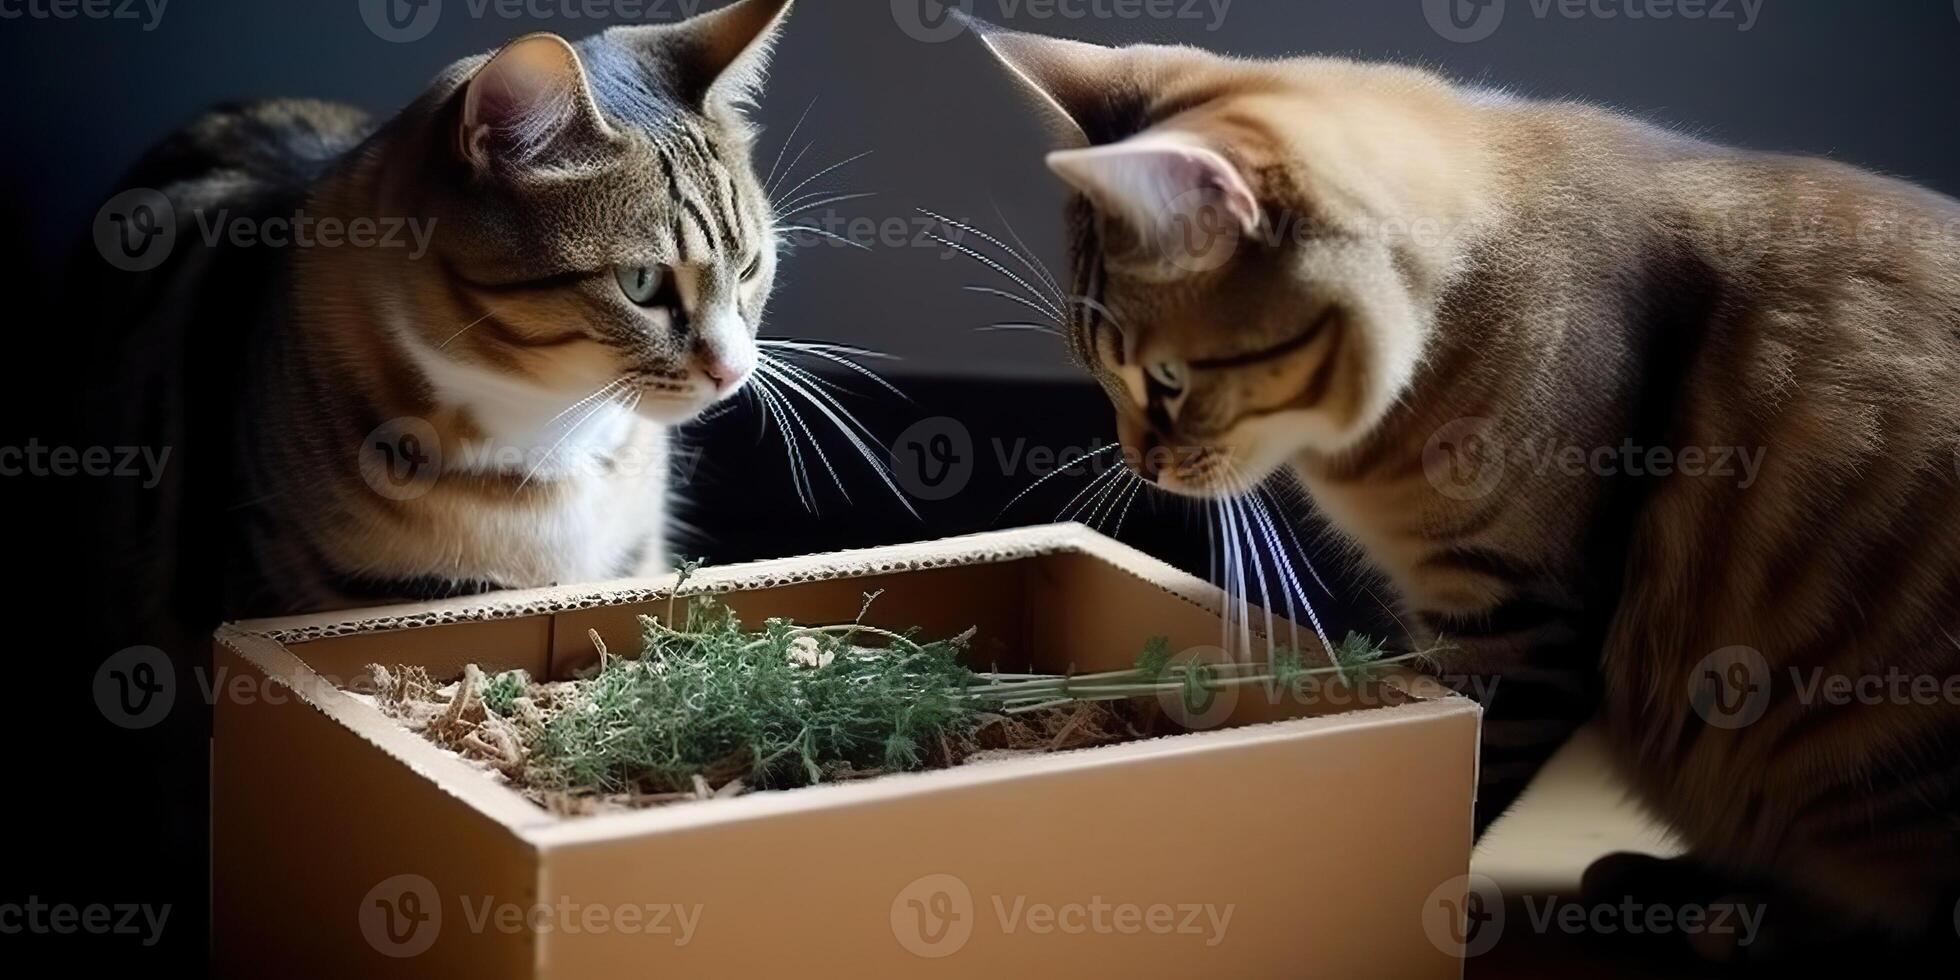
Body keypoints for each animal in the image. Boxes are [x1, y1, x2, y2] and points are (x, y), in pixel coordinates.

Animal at [964, 19, 1960, 960]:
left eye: (1165, 379)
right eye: (1099, 373)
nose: (1138, 463)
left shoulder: (1517, 624)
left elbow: (1468, 785)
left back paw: (1736, 919)